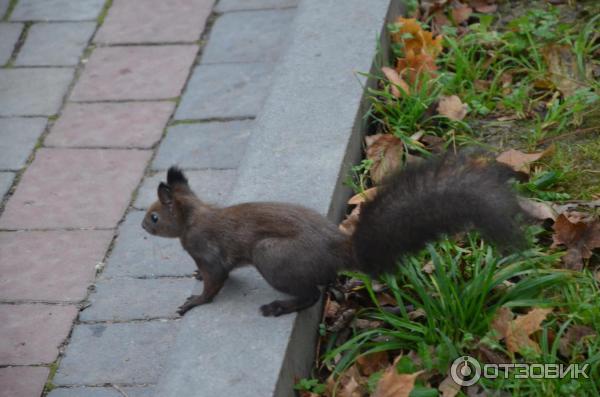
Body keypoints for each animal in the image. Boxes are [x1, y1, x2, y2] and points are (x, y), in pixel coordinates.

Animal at [142, 152, 524, 316]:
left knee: (311, 294)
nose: (142, 226)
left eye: (155, 216)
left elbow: (215, 281)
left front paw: (195, 301)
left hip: (272, 255)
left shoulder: (207, 250)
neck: (194, 217)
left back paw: (281, 306)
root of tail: (339, 249)